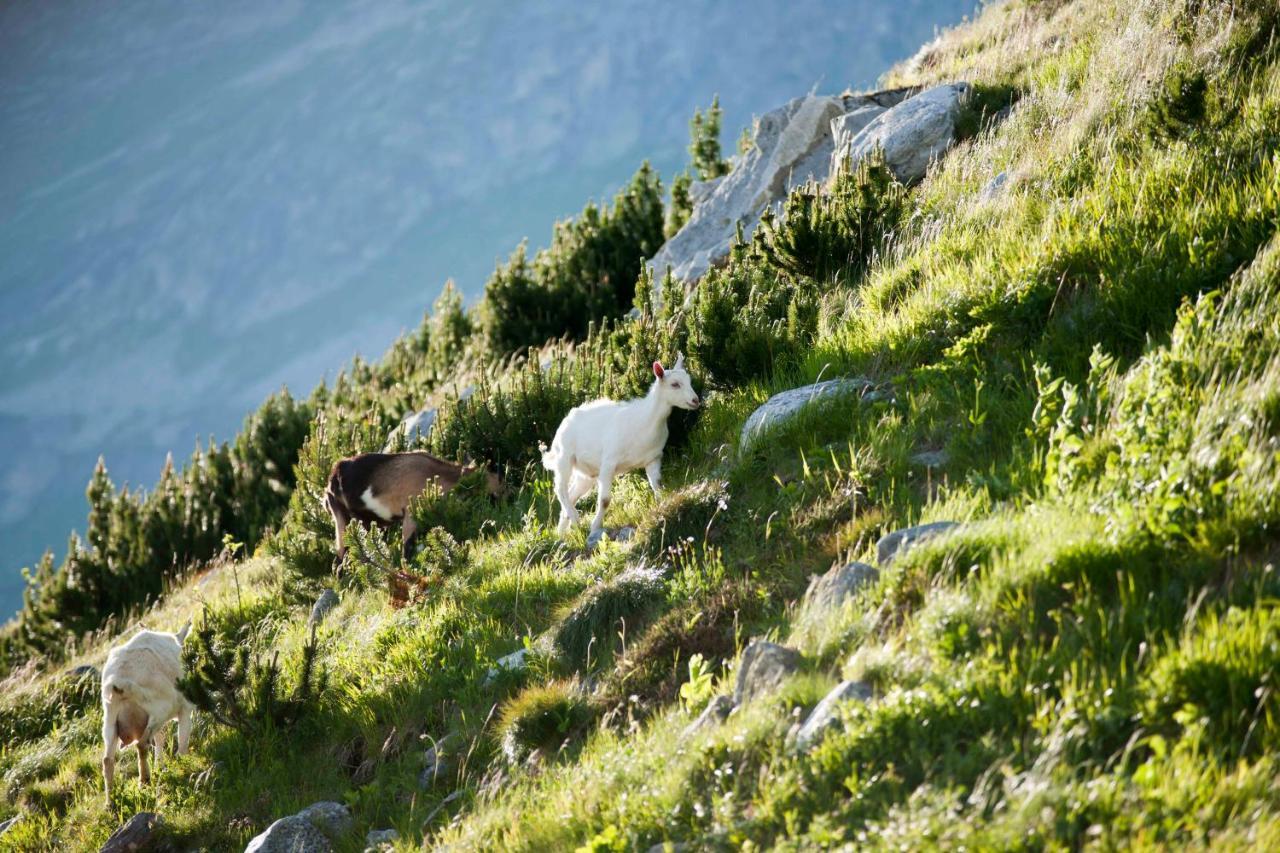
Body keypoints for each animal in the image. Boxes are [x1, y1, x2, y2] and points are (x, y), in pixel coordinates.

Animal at [101, 625, 194, 799]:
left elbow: (160, 738)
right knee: (142, 744)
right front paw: (184, 763)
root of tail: (119, 683)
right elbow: (182, 738)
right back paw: (144, 780)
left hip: (111, 721)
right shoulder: (185, 707)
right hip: (159, 709)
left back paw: (111, 801)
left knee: (107, 760)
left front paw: (160, 766)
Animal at [540, 350, 701, 535]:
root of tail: (566, 420)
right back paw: (575, 520)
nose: (695, 400)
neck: (645, 420)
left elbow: (657, 486)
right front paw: (595, 526)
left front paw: (663, 507)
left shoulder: (653, 459)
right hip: (564, 457)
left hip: (586, 473)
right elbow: (604, 500)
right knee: (561, 490)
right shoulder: (608, 462)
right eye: (675, 384)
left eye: (689, 381)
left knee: (572, 494)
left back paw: (564, 531)